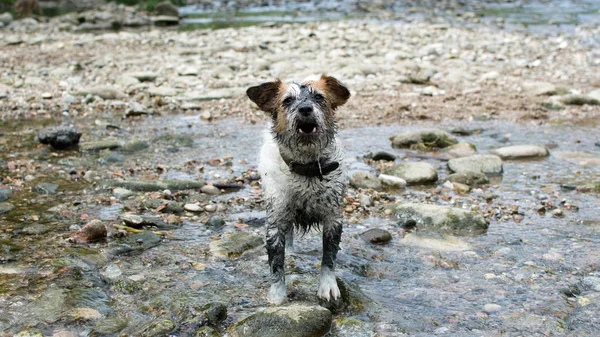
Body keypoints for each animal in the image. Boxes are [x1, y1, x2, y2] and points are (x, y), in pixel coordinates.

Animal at [247, 74, 352, 304]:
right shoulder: (276, 220)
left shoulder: (333, 219)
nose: (305, 108)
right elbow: (277, 264)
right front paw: (277, 296)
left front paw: (328, 286)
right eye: (287, 100)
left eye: (319, 97)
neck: (307, 170)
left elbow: (328, 258)